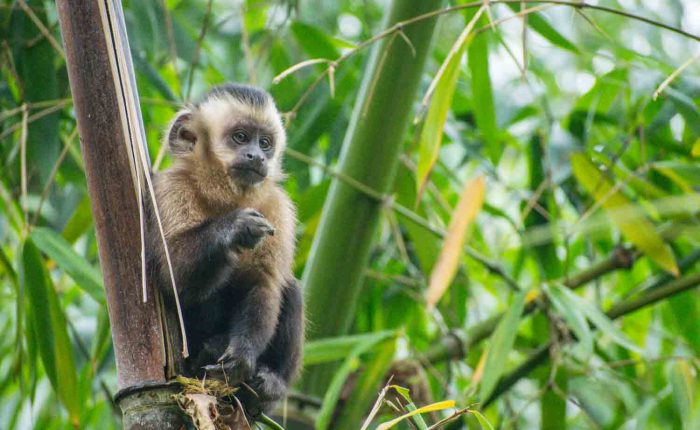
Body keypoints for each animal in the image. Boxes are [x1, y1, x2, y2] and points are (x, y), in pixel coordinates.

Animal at [146, 83, 302, 416]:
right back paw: (208, 350)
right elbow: (172, 281)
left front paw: (242, 355)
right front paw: (234, 227)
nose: (257, 156)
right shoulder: (170, 189)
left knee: (289, 286)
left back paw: (269, 386)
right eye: (241, 137)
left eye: (265, 143)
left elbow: (264, 282)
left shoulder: (277, 207)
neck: (224, 197)